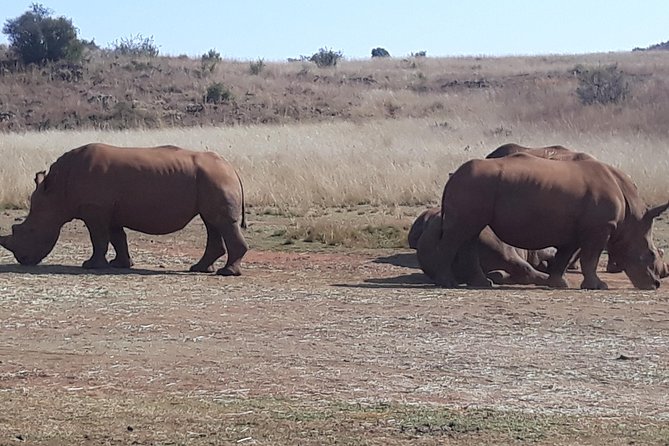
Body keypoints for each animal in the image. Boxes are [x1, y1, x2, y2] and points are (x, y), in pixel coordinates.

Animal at [0, 143, 248, 276]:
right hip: (211, 178)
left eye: (30, 231)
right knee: (211, 222)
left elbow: (99, 238)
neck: (57, 191)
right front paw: (120, 265)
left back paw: (226, 273)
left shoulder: (95, 209)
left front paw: (91, 265)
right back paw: (199, 269)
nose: (23, 260)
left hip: (216, 178)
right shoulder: (109, 211)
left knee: (221, 222)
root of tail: (232, 168)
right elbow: (117, 237)